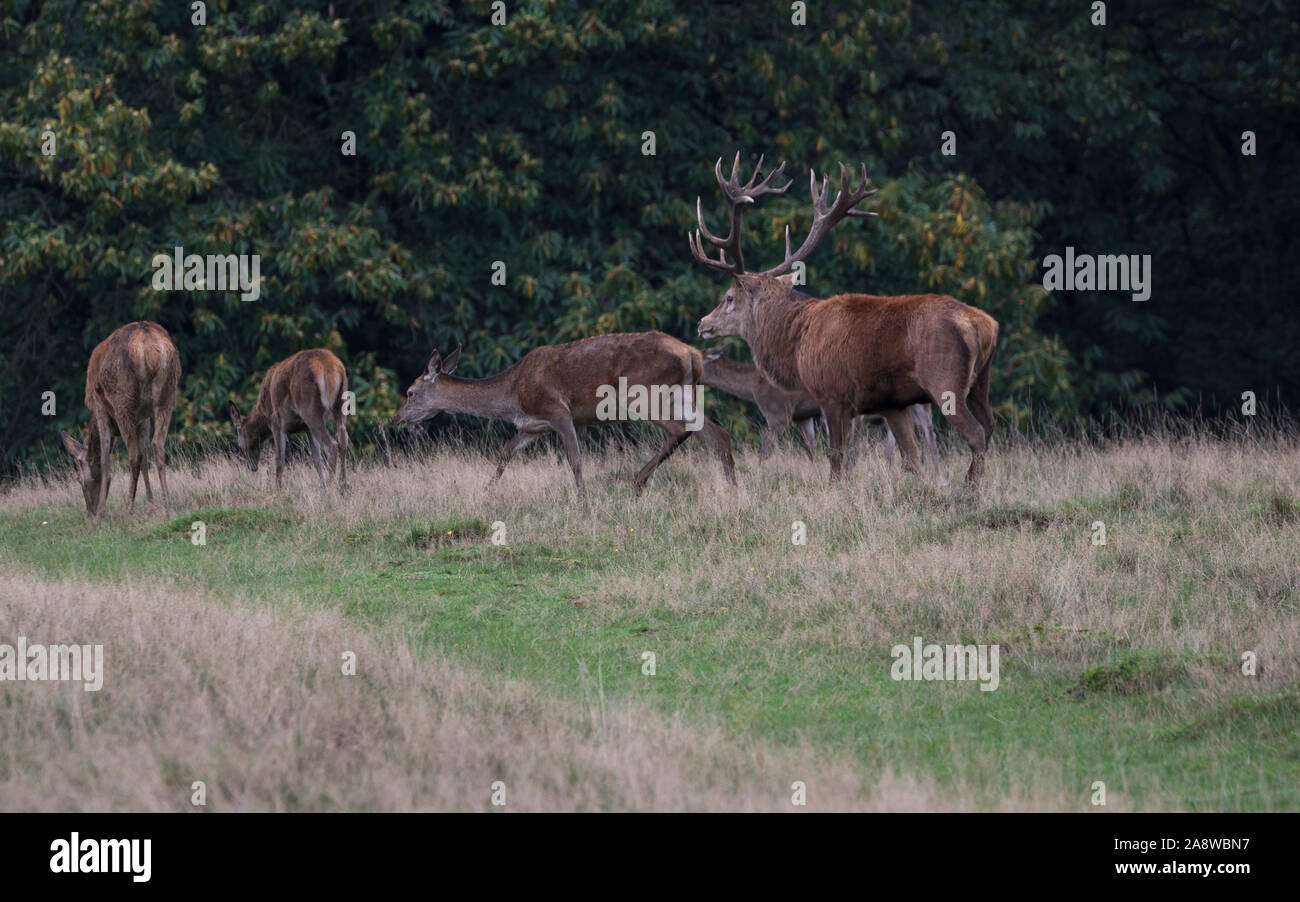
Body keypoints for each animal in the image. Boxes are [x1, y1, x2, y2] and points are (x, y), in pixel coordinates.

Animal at [59, 321, 181, 517]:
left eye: (80, 480)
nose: (89, 512)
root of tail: (148, 347)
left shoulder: (99, 407)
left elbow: (104, 459)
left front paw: (102, 511)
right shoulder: (143, 417)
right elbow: (145, 457)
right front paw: (151, 503)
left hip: (122, 399)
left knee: (134, 454)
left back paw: (128, 508)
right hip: (168, 394)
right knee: (158, 444)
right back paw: (167, 504)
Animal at [228, 349, 350, 494]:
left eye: (239, 443)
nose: (252, 467)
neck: (264, 412)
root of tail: (331, 368)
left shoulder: (277, 423)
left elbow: (279, 460)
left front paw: (277, 491)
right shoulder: (307, 428)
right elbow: (316, 459)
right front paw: (322, 487)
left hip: (310, 409)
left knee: (331, 445)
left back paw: (332, 488)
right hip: (341, 404)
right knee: (343, 439)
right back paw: (343, 487)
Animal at [393, 333, 736, 501]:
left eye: (410, 392)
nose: (396, 419)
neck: (513, 394)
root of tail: (692, 354)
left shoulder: (557, 410)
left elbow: (575, 459)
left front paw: (583, 503)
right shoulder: (532, 426)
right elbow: (504, 452)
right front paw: (485, 492)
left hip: (642, 393)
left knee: (680, 429)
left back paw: (637, 482)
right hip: (683, 394)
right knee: (717, 433)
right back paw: (734, 490)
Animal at [701, 346, 941, 476]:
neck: (753, 386)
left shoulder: (778, 413)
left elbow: (764, 452)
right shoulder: (802, 417)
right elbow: (811, 450)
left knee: (927, 433)